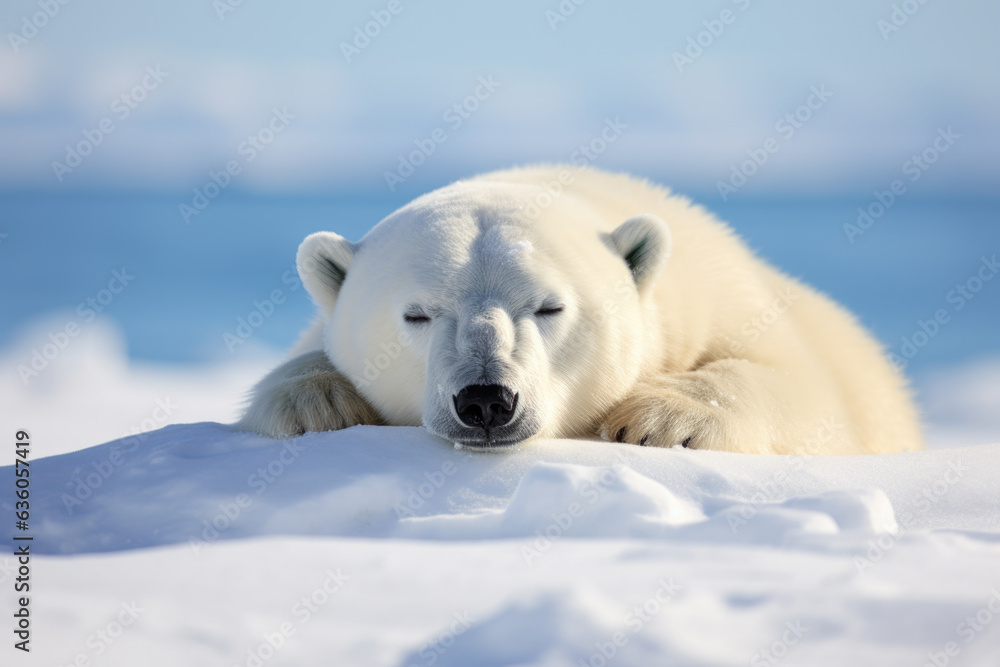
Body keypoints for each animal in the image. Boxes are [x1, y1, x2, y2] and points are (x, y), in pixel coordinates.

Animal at [238, 166, 924, 454]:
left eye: (549, 307)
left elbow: (808, 390)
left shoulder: (725, 300)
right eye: (418, 314)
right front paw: (317, 405)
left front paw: (658, 420)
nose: (486, 400)